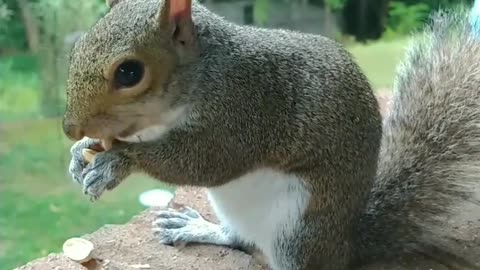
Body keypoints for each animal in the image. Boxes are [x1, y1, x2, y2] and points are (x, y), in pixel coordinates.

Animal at [62, 0, 480, 268]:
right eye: (77, 47)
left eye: (129, 72)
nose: (69, 128)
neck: (205, 70)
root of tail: (345, 246)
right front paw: (82, 152)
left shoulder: (245, 110)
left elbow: (204, 162)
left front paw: (117, 163)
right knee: (239, 239)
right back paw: (196, 228)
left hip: (297, 233)